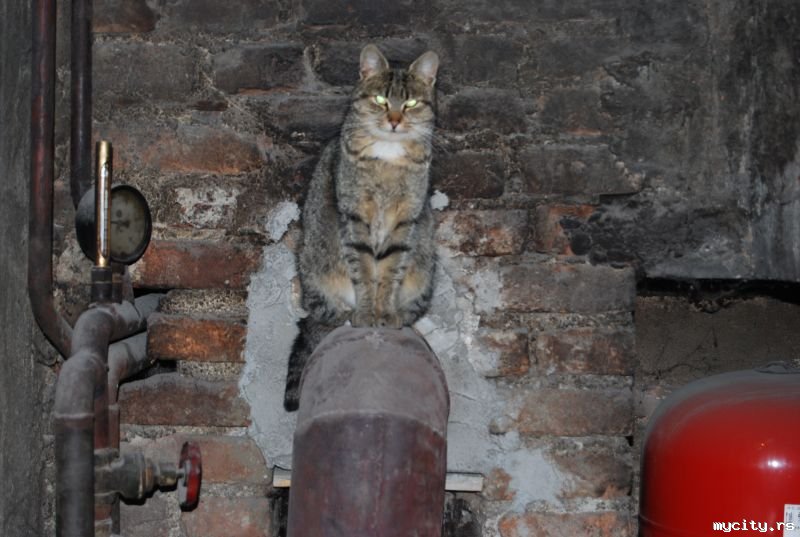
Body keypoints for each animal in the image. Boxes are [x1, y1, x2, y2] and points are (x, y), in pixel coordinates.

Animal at [283, 44, 440, 411]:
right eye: (381, 99)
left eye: (411, 103)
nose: (394, 120)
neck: (389, 157)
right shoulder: (355, 218)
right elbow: (366, 271)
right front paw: (368, 312)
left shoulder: (405, 222)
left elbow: (391, 272)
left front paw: (386, 312)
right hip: (315, 268)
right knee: (320, 317)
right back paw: (345, 314)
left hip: (425, 268)